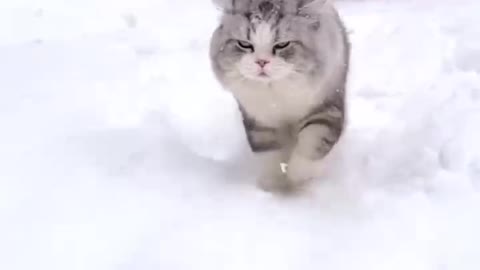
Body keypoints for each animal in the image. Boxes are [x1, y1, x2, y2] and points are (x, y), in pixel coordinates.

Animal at [209, 0, 348, 191]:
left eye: (282, 45)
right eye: (244, 44)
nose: (261, 62)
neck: (277, 94)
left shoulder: (327, 107)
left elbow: (312, 142)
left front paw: (297, 176)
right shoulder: (258, 121)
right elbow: (270, 155)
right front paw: (273, 185)